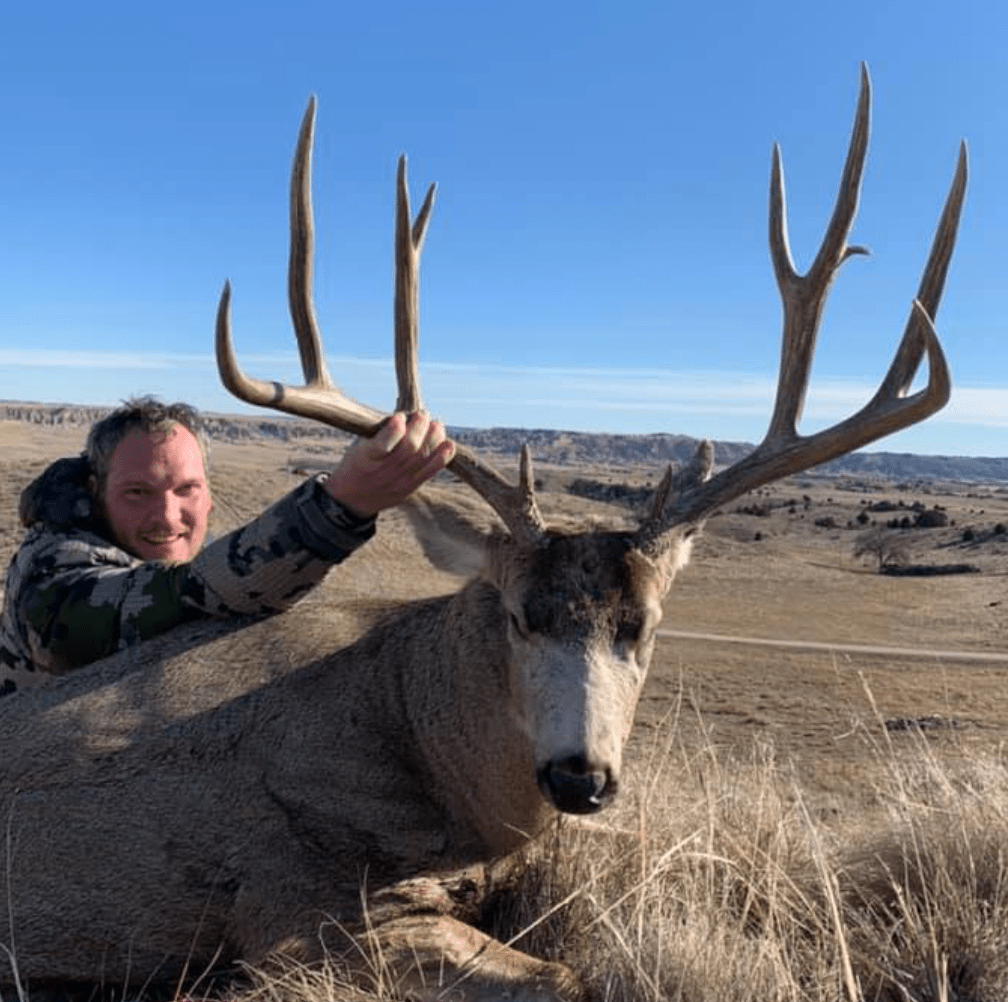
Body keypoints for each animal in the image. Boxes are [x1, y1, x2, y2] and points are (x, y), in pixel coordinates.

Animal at [0, 65, 965, 1002]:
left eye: (645, 626)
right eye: (517, 616)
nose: (580, 777)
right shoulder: (305, 912)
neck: (425, 745)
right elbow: (568, 975)